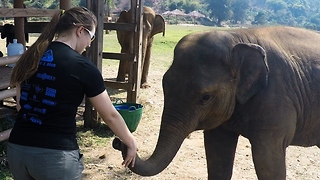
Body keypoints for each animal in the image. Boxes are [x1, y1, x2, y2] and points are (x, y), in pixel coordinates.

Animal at [115, 26, 320, 179]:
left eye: (205, 98)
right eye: (164, 84)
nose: (119, 142)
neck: (238, 37)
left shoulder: (275, 99)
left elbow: (267, 159)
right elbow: (217, 152)